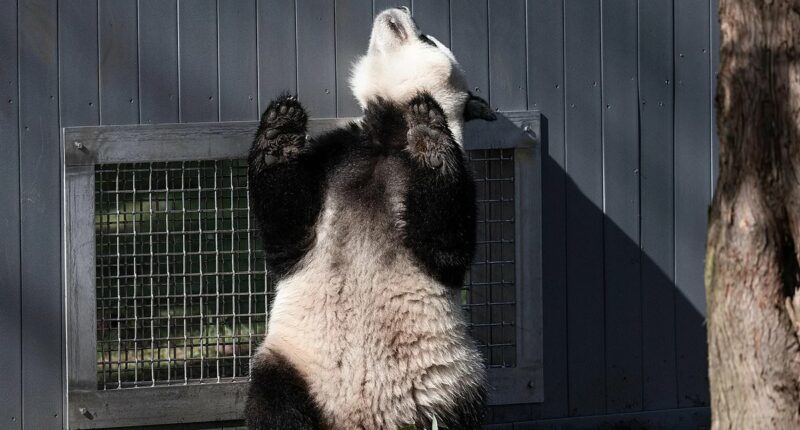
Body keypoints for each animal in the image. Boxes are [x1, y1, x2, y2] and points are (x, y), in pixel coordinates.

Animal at [245, 7, 496, 430]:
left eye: (426, 37)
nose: (397, 10)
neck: (386, 135)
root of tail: (357, 421)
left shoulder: (459, 175)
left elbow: (446, 245)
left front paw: (430, 134)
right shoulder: (335, 156)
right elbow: (286, 236)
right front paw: (280, 129)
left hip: (451, 382)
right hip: (291, 362)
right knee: (273, 402)